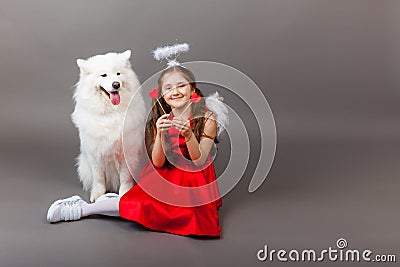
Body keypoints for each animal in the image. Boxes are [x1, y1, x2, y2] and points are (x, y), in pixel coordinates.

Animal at [72, 50, 146, 202]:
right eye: (103, 75)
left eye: (118, 74)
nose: (116, 84)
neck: (111, 112)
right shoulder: (95, 153)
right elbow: (99, 177)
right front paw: (98, 195)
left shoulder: (127, 154)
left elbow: (125, 177)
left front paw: (124, 193)